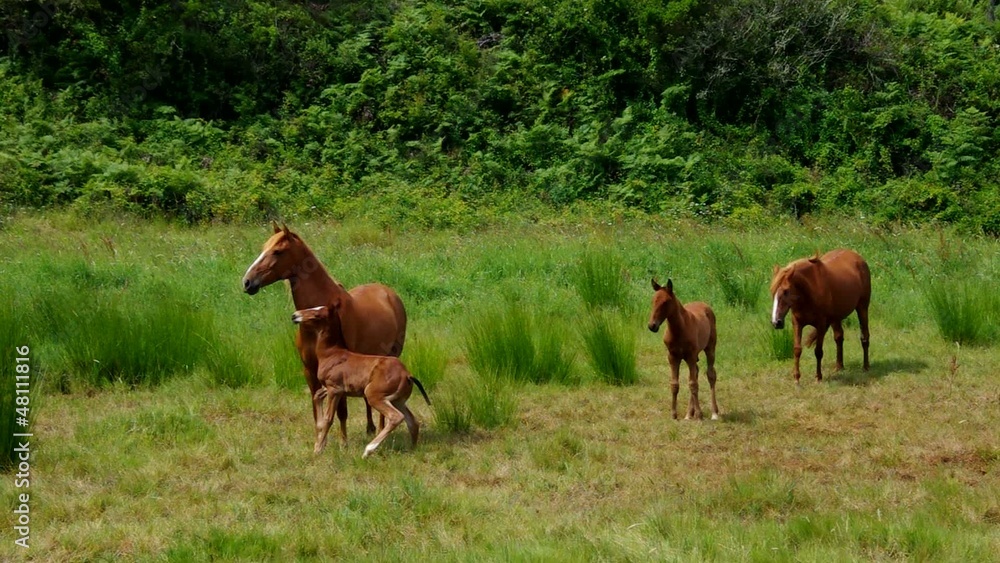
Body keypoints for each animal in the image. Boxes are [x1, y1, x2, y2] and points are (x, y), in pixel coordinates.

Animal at [242, 224, 406, 440]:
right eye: (263, 248)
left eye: (277, 251)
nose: (247, 282)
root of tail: (388, 292)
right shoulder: (309, 371)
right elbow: (316, 410)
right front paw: (320, 438)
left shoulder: (340, 371)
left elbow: (341, 411)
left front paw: (343, 443)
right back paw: (370, 428)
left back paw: (379, 429)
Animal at [290, 304, 430, 458]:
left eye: (317, 314)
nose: (295, 315)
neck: (331, 354)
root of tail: (407, 374)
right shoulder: (331, 388)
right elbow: (317, 396)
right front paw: (318, 441)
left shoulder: (334, 389)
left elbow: (328, 419)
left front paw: (318, 449)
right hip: (397, 400)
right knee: (412, 421)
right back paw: (412, 449)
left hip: (373, 395)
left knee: (396, 417)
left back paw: (368, 450)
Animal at [648, 280, 720, 420]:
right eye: (653, 300)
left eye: (665, 302)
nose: (652, 326)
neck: (679, 330)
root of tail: (704, 304)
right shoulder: (673, 357)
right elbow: (675, 384)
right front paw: (674, 414)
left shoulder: (690, 355)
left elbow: (693, 384)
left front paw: (699, 415)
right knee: (696, 372)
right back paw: (688, 413)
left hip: (709, 348)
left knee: (710, 374)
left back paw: (714, 412)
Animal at [768, 250, 872, 384]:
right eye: (773, 292)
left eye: (786, 291)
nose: (776, 322)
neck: (808, 293)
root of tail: (858, 257)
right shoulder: (797, 323)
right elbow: (797, 349)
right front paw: (796, 378)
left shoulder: (821, 325)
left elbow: (818, 351)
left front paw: (818, 377)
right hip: (836, 318)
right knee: (839, 337)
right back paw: (839, 366)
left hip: (862, 308)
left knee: (864, 336)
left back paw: (866, 366)